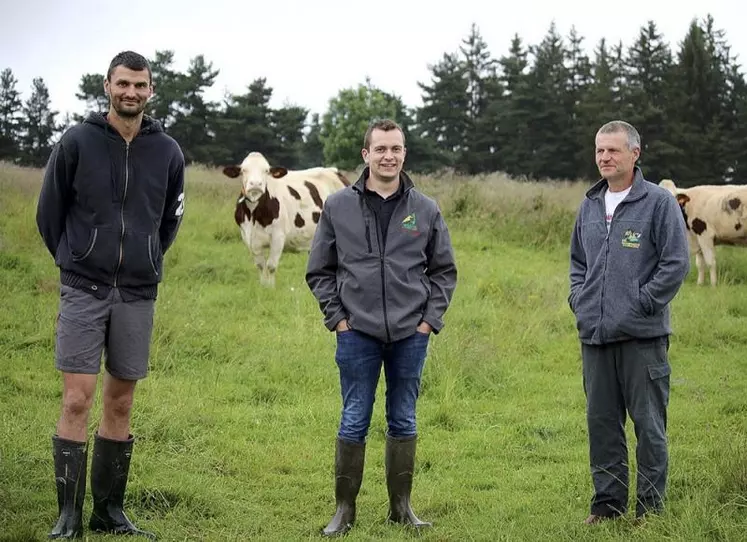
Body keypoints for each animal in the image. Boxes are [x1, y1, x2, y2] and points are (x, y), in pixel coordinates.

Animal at [222, 152, 350, 288]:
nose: (255, 184)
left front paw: (271, 288)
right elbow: (260, 266)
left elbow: (271, 266)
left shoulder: (278, 236)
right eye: (243, 170)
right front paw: (263, 287)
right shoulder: (249, 238)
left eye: (266, 170)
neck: (254, 215)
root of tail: (334, 171)